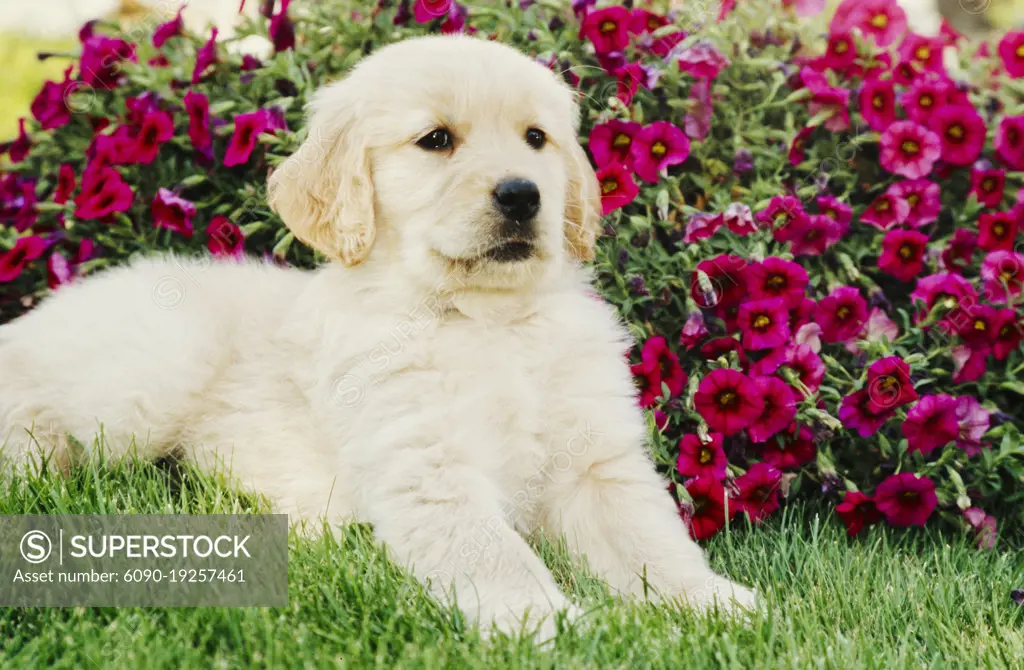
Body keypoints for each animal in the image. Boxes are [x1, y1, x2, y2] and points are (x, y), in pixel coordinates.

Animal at [0, 35, 753, 639]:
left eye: (537, 139)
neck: (487, 320)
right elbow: (497, 555)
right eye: (437, 140)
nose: (522, 195)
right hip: (153, 369)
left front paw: (715, 605)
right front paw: (550, 627)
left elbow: (651, 541)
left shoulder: (598, 462)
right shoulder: (429, 468)